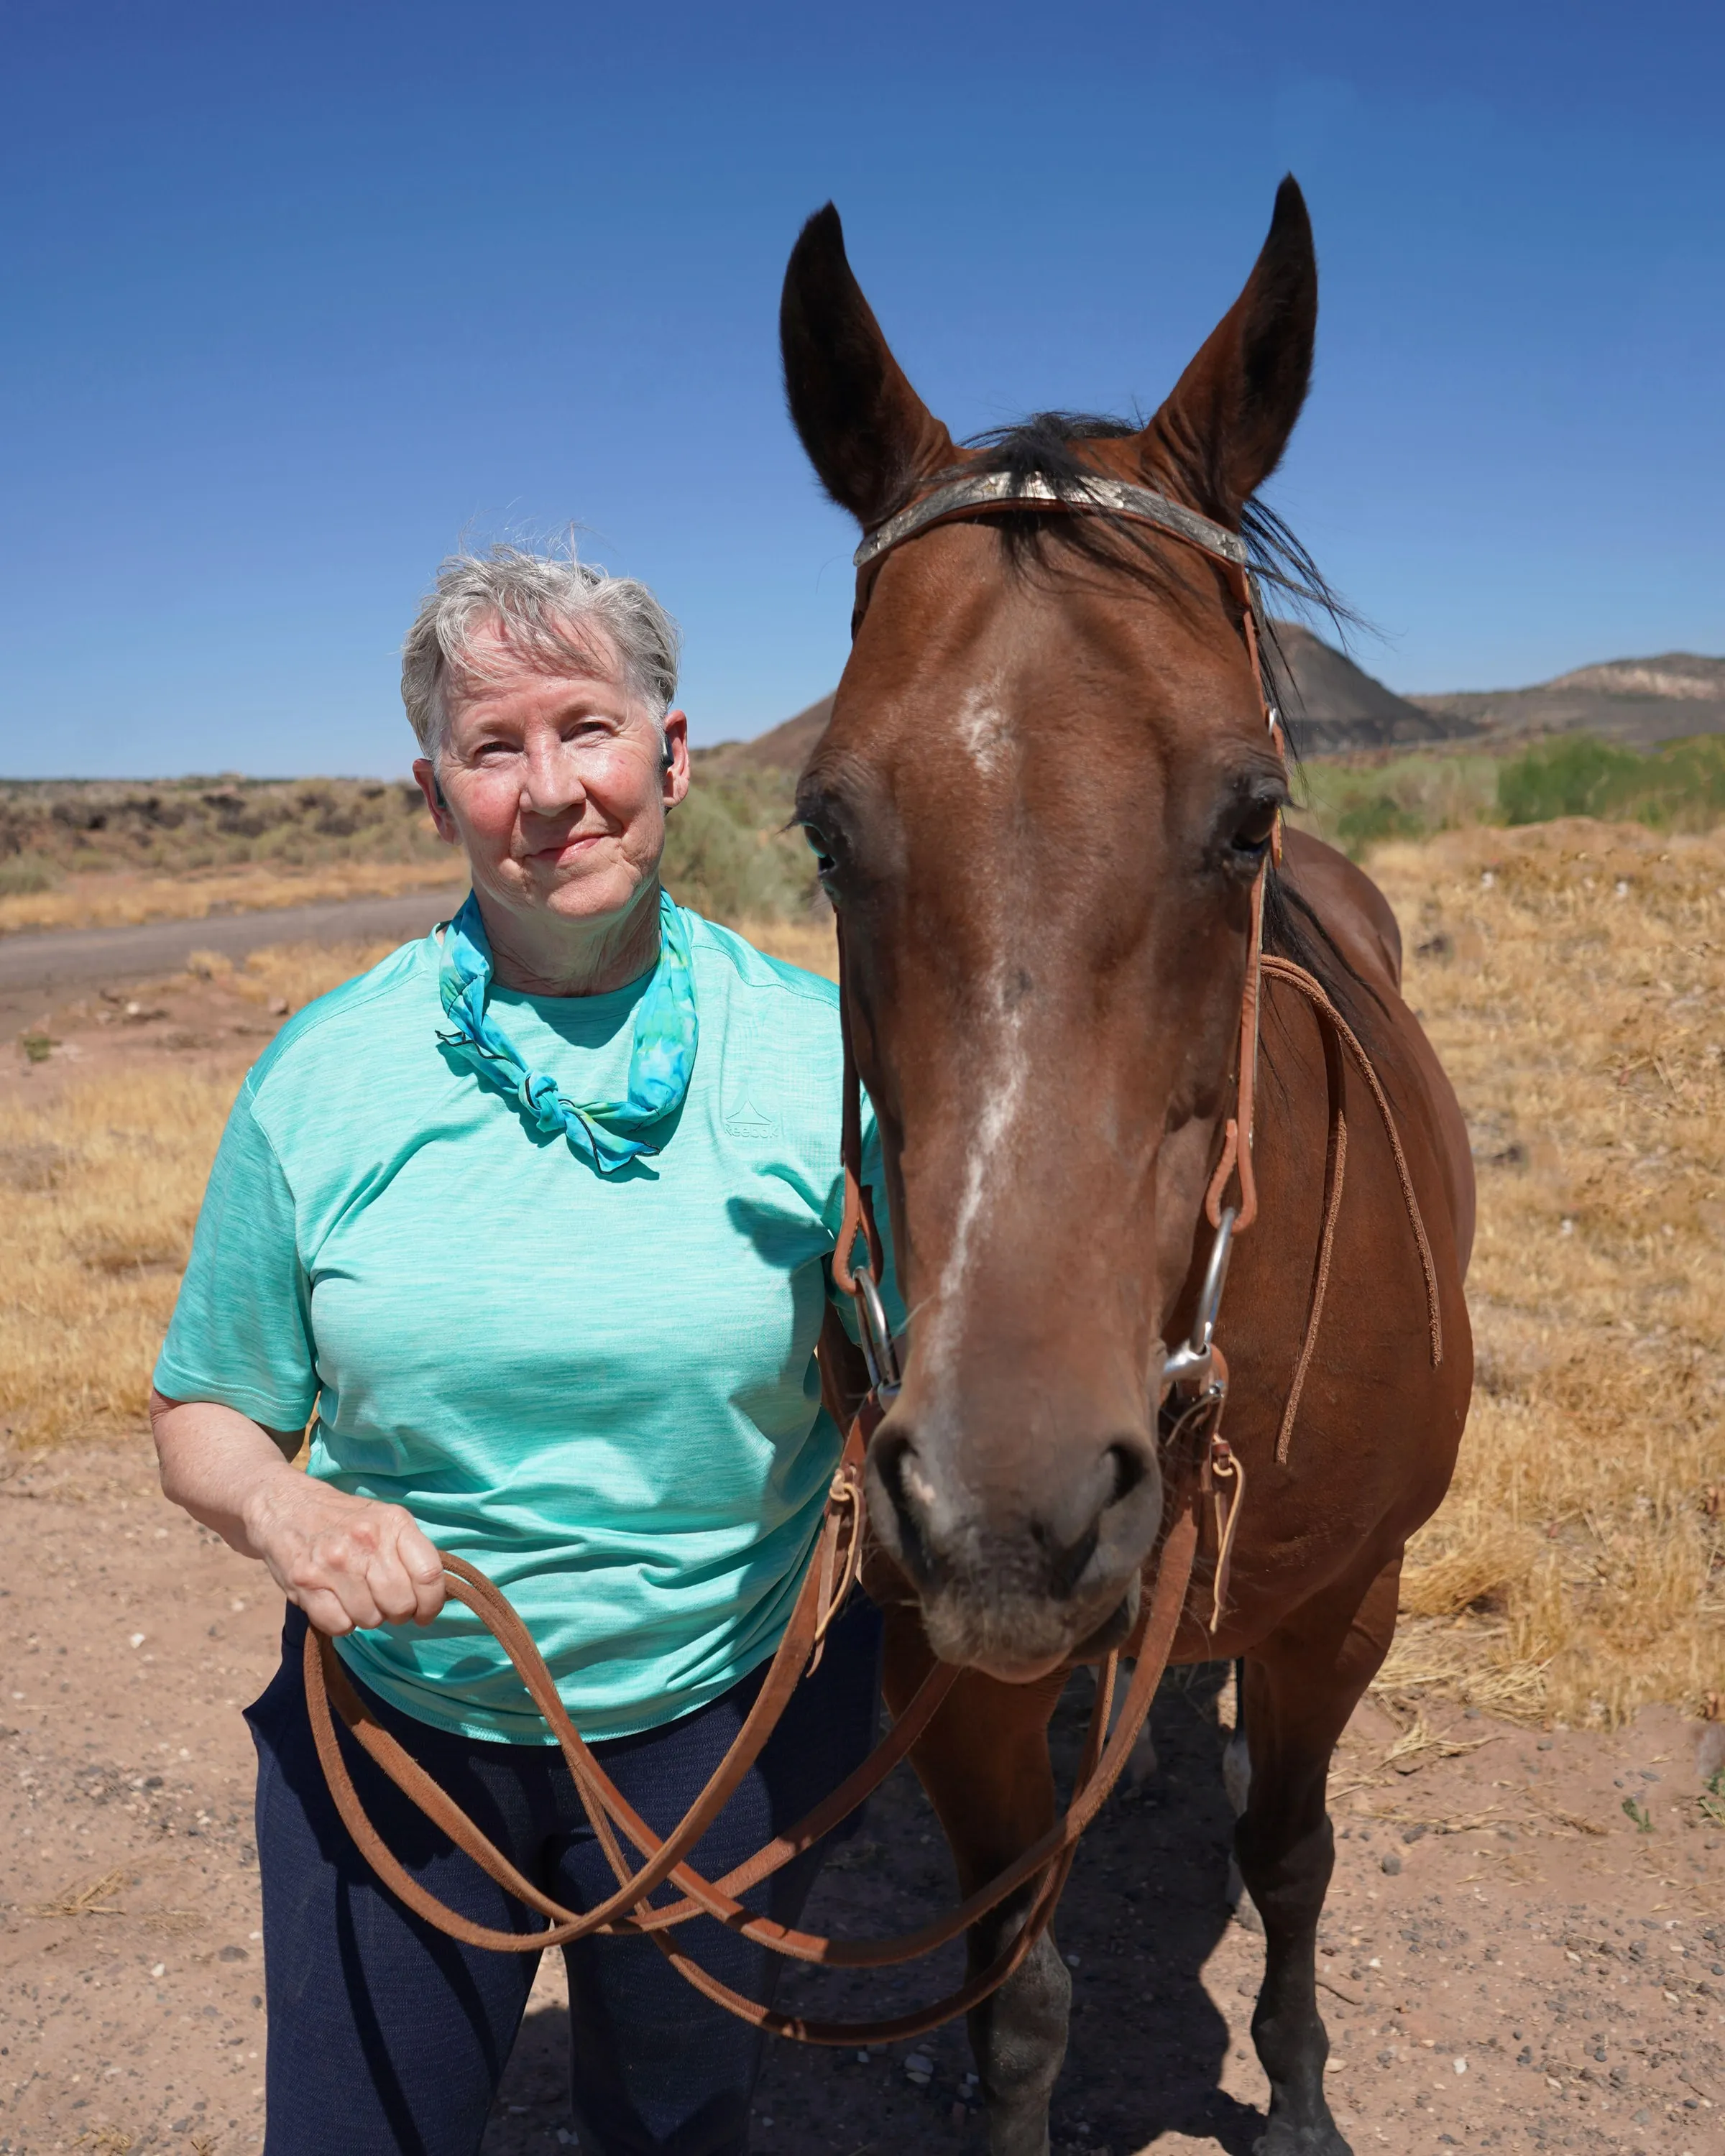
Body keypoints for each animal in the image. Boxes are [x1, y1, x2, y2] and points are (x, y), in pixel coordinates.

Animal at [783, 176, 1475, 2156]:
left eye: (1248, 813)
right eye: (824, 829)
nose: (1006, 1508)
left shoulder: (1346, 1607)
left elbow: (1293, 1855)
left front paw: (1301, 2100)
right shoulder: (941, 1662)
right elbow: (1015, 1985)